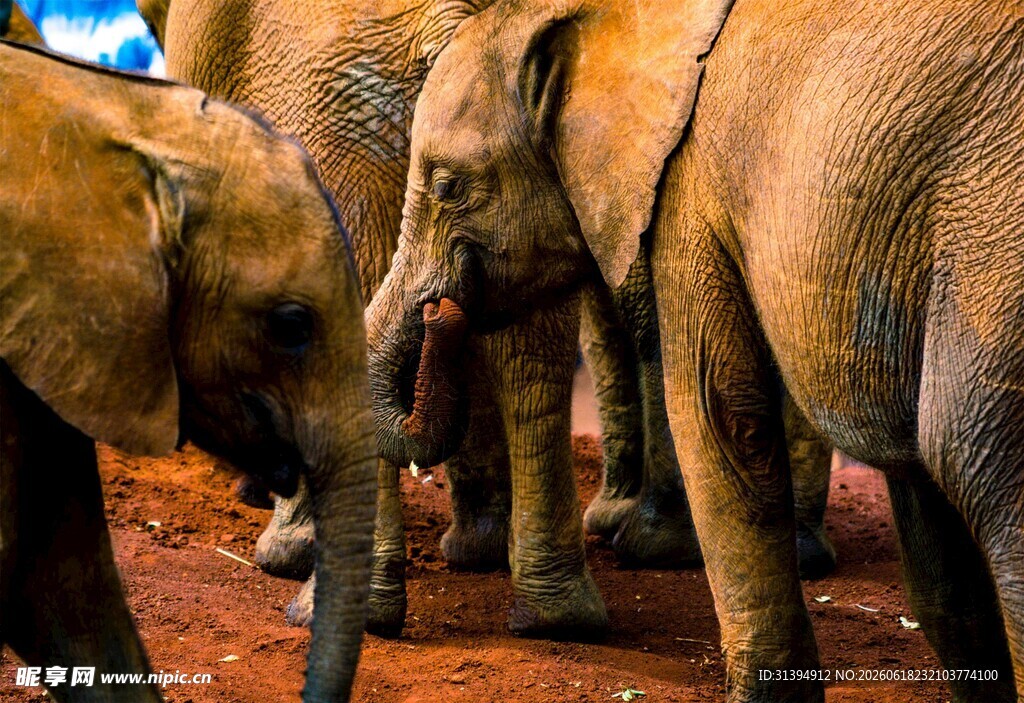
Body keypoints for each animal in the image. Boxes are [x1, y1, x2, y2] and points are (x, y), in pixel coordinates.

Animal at [369, 0, 1023, 700]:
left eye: (448, 186)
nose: (440, 311)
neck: (602, 20)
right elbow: (934, 555)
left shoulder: (689, 187)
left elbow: (720, 417)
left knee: (976, 469)